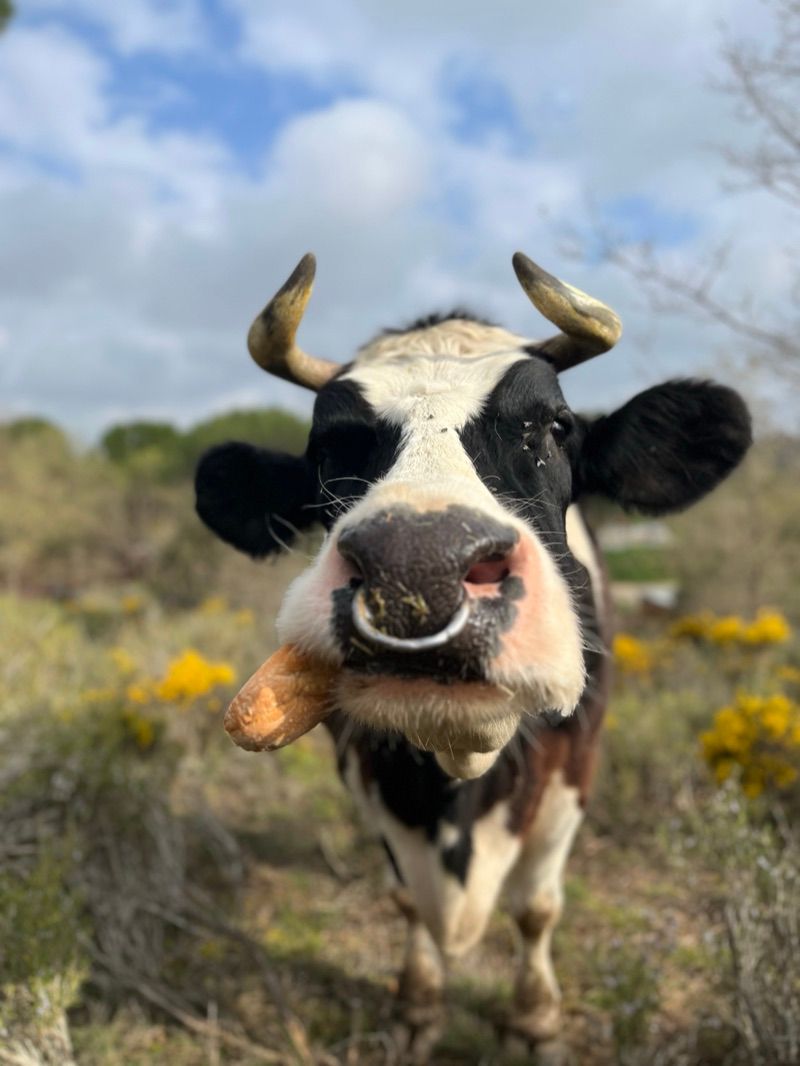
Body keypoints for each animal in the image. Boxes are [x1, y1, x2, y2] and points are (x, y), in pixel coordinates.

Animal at [195, 252, 751, 1052]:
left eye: (553, 426)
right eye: (327, 448)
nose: (416, 568)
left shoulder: (577, 764)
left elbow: (537, 907)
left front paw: (534, 1018)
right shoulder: (362, 770)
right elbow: (404, 900)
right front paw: (418, 1004)